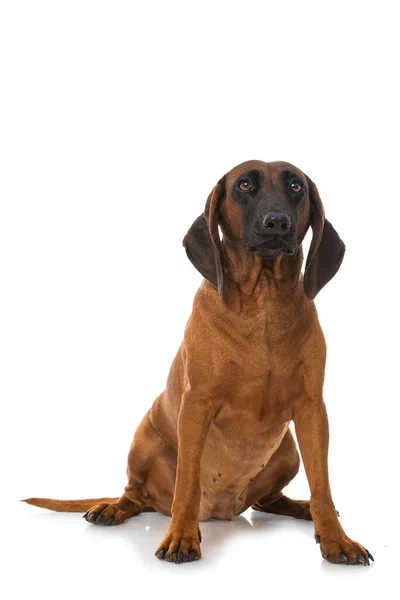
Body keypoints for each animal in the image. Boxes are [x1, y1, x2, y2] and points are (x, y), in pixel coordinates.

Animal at [24, 159, 376, 568]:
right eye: (244, 185)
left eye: (296, 186)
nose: (277, 222)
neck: (264, 303)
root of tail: (223, 510)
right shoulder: (196, 407)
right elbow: (188, 484)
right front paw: (181, 537)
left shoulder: (312, 410)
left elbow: (323, 486)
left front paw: (336, 539)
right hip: (144, 440)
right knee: (135, 494)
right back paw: (112, 508)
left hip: (288, 451)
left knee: (268, 501)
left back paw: (302, 509)